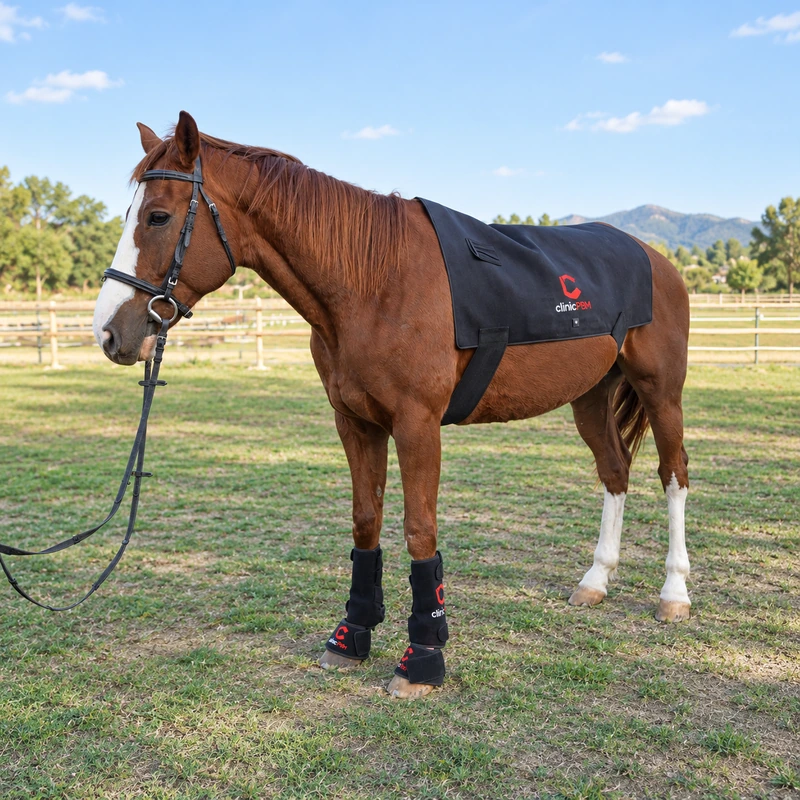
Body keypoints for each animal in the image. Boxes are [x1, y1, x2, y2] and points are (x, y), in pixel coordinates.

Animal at [93, 111, 691, 699]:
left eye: (158, 217)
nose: (109, 333)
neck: (374, 284)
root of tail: (657, 260)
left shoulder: (417, 425)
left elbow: (419, 529)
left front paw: (423, 656)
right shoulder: (356, 423)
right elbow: (366, 523)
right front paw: (351, 635)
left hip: (662, 393)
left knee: (673, 475)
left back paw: (674, 593)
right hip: (589, 397)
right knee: (615, 472)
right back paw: (596, 581)